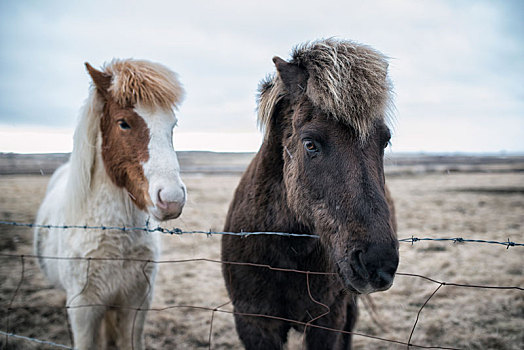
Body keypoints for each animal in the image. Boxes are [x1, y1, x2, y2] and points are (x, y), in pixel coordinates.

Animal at [35, 58, 186, 348]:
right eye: (123, 123)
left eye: (173, 125)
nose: (172, 199)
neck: (118, 242)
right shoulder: (82, 311)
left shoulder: (137, 305)